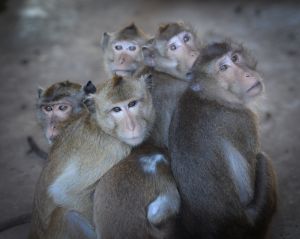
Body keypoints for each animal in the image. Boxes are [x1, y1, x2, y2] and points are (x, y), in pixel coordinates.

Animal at [28, 74, 156, 239]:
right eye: (117, 109)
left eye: (132, 104)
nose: (132, 126)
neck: (102, 128)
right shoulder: (111, 149)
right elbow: (64, 192)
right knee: (69, 216)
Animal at [170, 42, 278, 238]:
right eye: (223, 68)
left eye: (235, 58)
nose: (248, 74)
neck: (212, 97)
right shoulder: (245, 120)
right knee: (263, 159)